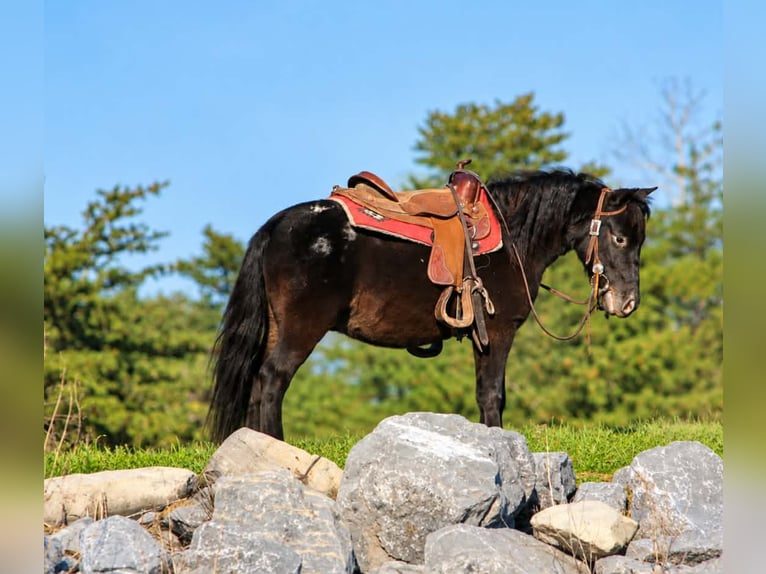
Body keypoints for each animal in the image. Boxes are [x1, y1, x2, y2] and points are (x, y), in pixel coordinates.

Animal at [208, 169, 654, 441]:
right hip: (302, 329)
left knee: (257, 382)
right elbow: (492, 394)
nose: (628, 303)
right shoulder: (497, 333)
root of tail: (275, 226)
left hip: (278, 327)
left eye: (640, 239)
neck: (514, 240)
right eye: (619, 238)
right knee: (272, 379)